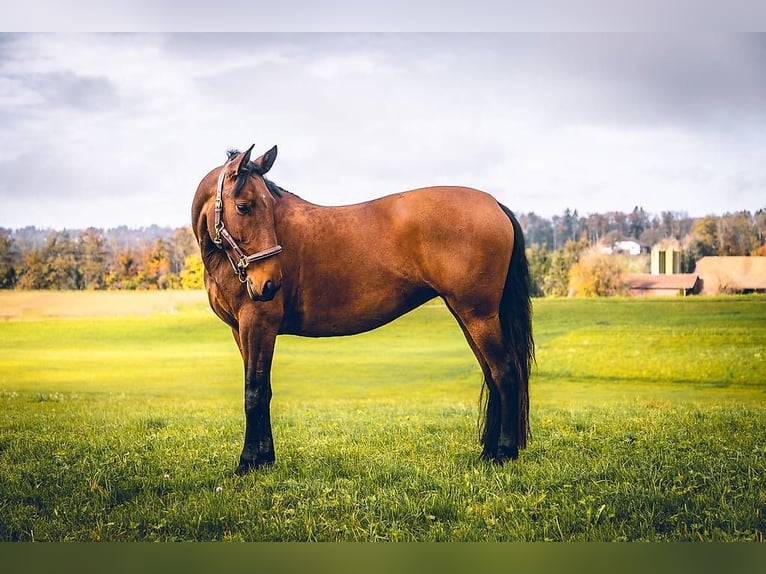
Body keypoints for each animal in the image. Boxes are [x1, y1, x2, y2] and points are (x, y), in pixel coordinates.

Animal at [192, 145, 536, 476]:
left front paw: (248, 462)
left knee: (505, 373)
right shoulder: (241, 330)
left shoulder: (259, 323)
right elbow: (262, 390)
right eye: (244, 207)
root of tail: (494, 204)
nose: (269, 283)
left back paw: (503, 453)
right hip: (468, 315)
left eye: (266, 205)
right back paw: (489, 452)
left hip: (478, 316)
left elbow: (255, 391)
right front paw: (264, 458)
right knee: (492, 376)